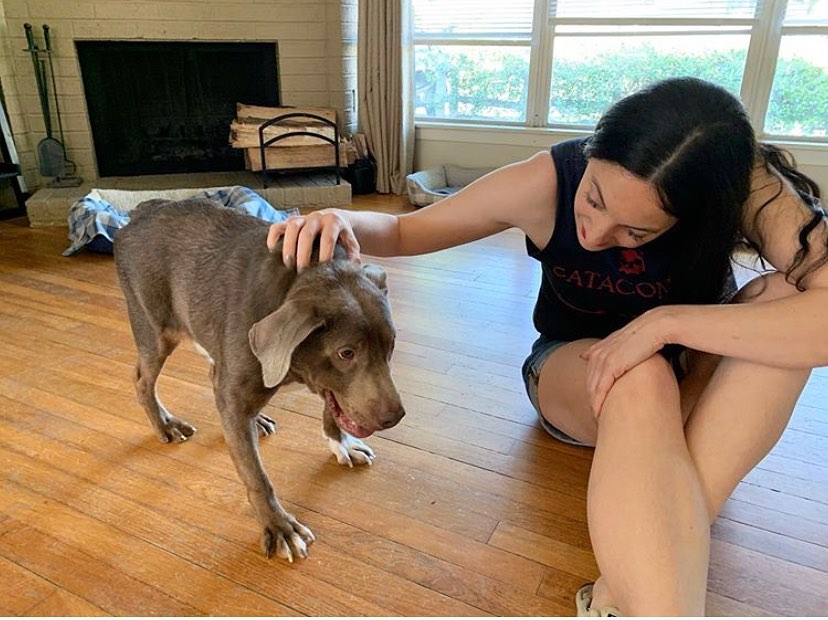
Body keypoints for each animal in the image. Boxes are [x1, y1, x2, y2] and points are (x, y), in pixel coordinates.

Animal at [113, 199, 404, 560]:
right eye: (346, 353)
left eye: (391, 345)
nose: (395, 417)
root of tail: (142, 210)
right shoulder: (238, 395)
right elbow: (256, 475)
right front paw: (279, 527)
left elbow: (332, 404)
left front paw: (341, 443)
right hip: (155, 330)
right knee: (143, 380)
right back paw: (166, 424)